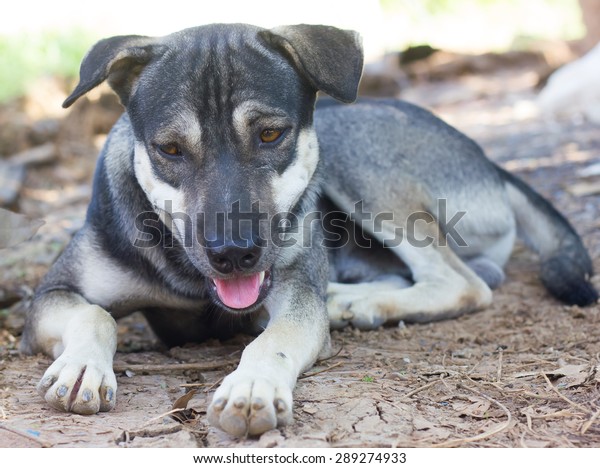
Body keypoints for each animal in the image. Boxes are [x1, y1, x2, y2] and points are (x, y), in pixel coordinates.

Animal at [21, 22, 596, 438]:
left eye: (270, 135)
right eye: (170, 149)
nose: (235, 254)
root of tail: (489, 160)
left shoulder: (294, 288)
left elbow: (276, 336)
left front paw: (253, 385)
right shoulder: (51, 295)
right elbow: (95, 315)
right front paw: (81, 367)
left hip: (359, 162)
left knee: (463, 282)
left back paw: (353, 302)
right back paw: (353, 300)